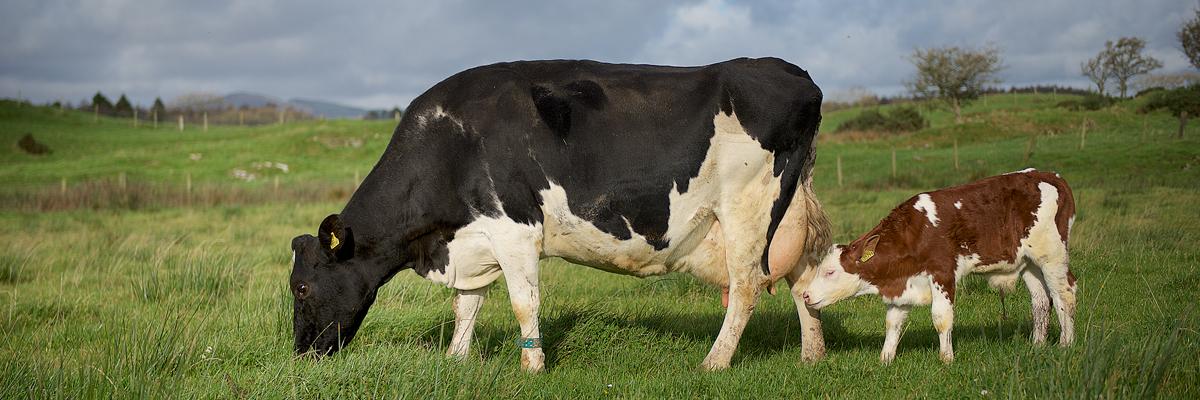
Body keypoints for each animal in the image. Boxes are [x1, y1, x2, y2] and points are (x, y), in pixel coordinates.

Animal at [291, 56, 835, 369]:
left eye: (301, 288)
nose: (301, 353)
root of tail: (794, 73)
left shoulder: (514, 230)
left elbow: (522, 304)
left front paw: (532, 369)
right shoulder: (474, 239)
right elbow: (467, 304)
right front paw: (457, 359)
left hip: (747, 206)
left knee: (745, 289)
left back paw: (714, 363)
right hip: (791, 211)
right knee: (804, 279)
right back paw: (812, 356)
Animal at [801, 169, 1075, 362]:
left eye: (830, 272)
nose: (805, 295)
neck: (916, 232)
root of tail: (1050, 176)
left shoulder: (942, 272)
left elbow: (941, 318)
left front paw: (946, 358)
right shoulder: (902, 284)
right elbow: (893, 322)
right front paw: (885, 359)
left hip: (1052, 256)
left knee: (1065, 295)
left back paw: (1066, 344)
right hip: (1028, 263)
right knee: (1041, 301)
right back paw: (1037, 345)